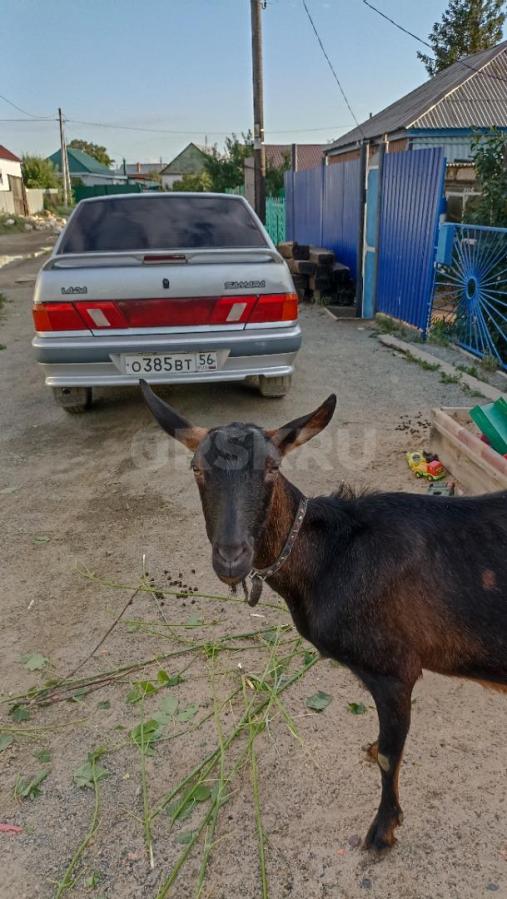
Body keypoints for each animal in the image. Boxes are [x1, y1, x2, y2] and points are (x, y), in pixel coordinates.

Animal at [141, 381, 507, 851]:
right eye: (196, 469)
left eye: (273, 468)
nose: (231, 559)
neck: (332, 554)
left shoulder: (394, 670)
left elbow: (390, 756)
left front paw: (382, 830)